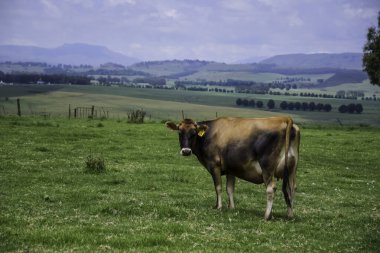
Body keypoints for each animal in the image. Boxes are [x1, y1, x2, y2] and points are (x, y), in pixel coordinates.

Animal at [166, 116, 300, 219]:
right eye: (179, 132)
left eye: (194, 133)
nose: (186, 151)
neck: (209, 133)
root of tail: (284, 119)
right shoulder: (231, 169)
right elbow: (230, 188)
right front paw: (231, 207)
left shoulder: (215, 165)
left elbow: (218, 187)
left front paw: (219, 206)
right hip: (292, 169)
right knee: (291, 188)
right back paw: (290, 214)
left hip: (267, 167)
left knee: (271, 188)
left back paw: (267, 215)